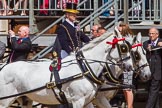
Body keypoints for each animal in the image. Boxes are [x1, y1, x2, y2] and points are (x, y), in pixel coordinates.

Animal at [0, 30, 134, 108]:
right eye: (123, 48)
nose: (131, 67)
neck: (84, 68)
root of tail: (3, 68)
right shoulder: (77, 100)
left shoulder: (88, 101)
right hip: (5, 101)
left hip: (26, 99)